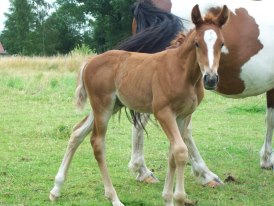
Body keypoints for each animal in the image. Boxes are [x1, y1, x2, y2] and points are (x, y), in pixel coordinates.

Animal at [49, 4, 229, 206]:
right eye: (197, 43)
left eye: (221, 44)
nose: (211, 79)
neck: (183, 72)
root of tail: (90, 61)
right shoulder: (163, 112)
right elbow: (181, 151)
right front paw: (179, 197)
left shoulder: (183, 116)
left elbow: (173, 154)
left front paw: (168, 198)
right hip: (103, 106)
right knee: (97, 143)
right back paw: (114, 198)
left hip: (112, 106)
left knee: (77, 132)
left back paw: (56, 189)